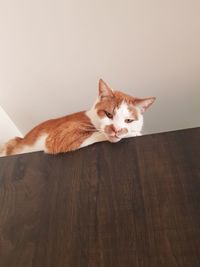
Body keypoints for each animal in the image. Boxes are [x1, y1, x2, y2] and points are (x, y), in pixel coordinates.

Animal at [0, 79, 155, 158]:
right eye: (109, 114)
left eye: (129, 120)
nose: (116, 129)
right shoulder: (58, 137)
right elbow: (98, 134)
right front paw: (135, 134)